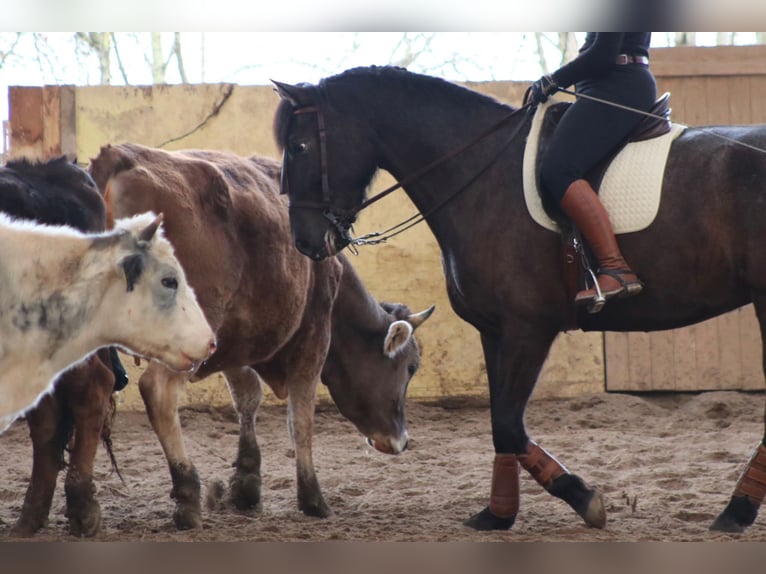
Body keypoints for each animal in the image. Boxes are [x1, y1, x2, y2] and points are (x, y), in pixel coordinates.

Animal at [272, 65, 766, 534]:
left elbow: (509, 424)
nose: (305, 242)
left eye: (298, 146)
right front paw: (499, 513)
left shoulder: (528, 329)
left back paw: (736, 511)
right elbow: (501, 425)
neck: (482, 173)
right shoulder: (494, 331)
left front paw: (581, 499)